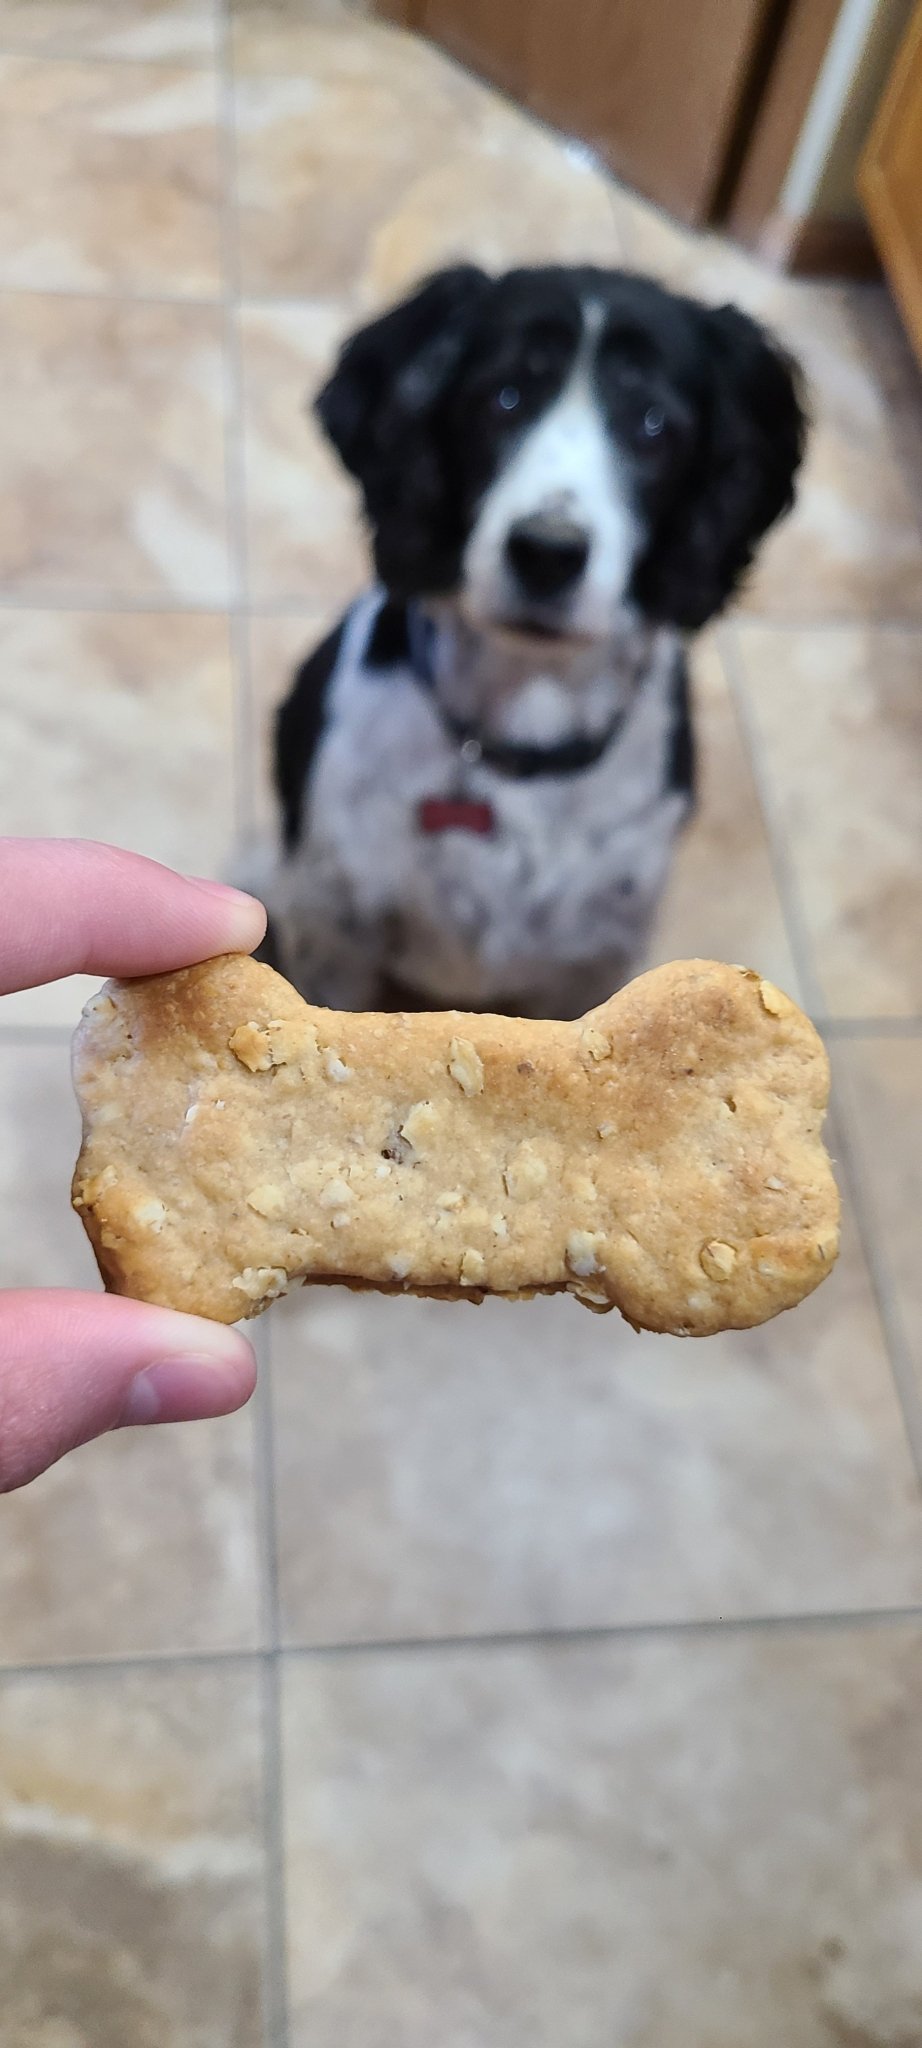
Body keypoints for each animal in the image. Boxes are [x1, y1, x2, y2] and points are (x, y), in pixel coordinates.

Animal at [257, 264, 799, 1015]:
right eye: (502, 399)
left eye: (653, 425)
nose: (548, 552)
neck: (524, 723)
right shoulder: (335, 926)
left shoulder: (591, 962)